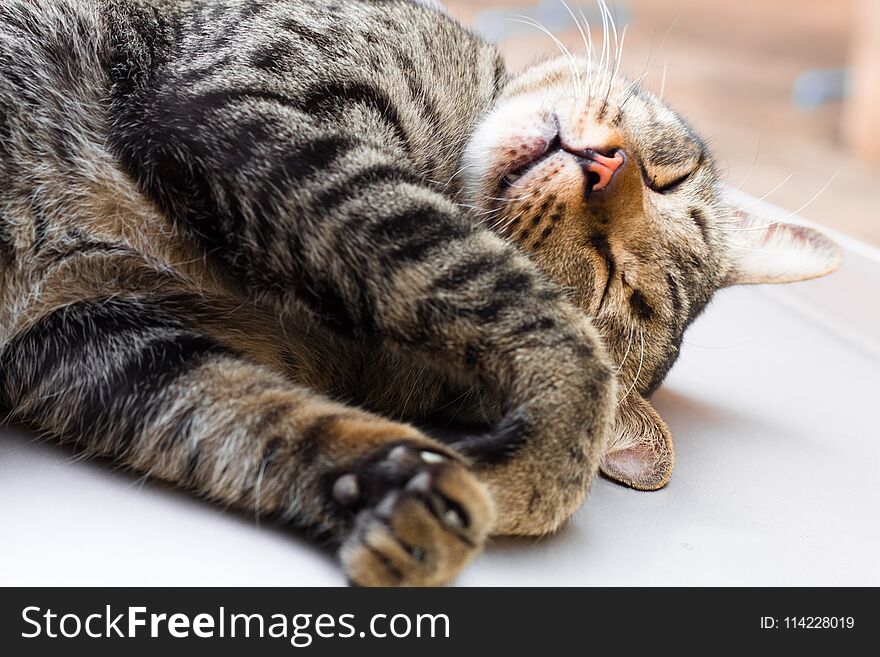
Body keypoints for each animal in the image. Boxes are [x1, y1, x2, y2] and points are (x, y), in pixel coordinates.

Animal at [0, 0, 840, 584]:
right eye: (668, 179)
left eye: (612, 277)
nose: (609, 169)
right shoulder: (231, 104)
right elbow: (542, 331)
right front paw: (531, 473)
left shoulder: (99, 338)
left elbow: (255, 420)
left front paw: (410, 489)